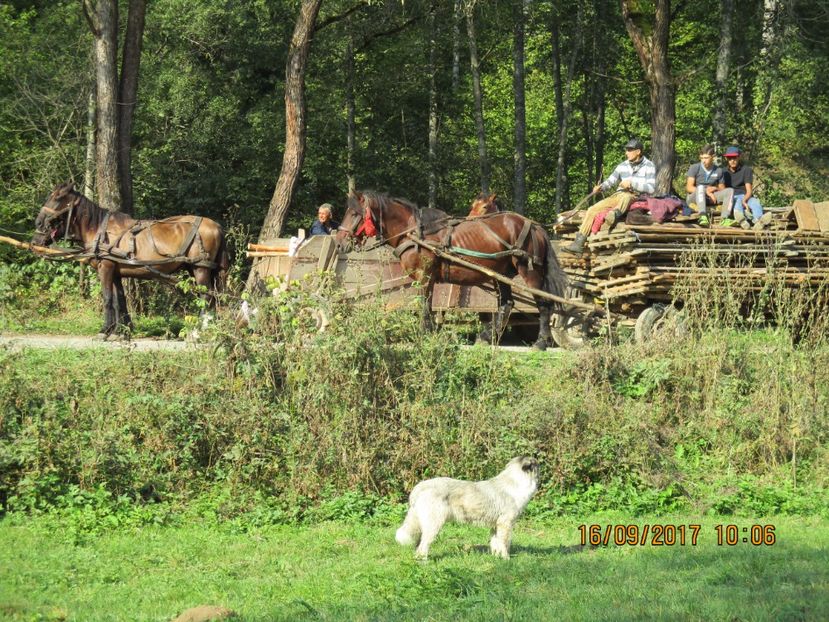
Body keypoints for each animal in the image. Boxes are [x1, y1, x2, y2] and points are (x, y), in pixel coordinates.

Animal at [33, 183, 230, 338]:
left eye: (57, 198)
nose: (38, 224)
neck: (101, 230)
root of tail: (217, 226)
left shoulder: (105, 267)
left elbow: (107, 298)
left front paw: (105, 331)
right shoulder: (115, 271)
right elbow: (118, 299)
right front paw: (121, 331)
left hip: (200, 268)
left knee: (207, 297)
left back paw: (200, 331)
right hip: (196, 269)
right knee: (211, 297)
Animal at [334, 190, 568, 348]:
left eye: (354, 214)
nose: (338, 243)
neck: (415, 232)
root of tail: (534, 226)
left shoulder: (424, 276)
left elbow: (424, 306)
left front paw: (423, 334)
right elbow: (428, 306)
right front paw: (431, 333)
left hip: (529, 271)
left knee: (544, 304)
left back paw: (541, 342)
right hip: (502, 274)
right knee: (506, 304)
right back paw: (488, 337)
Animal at [396, 458, 540, 560]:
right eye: (536, 464)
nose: (541, 464)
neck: (515, 482)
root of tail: (420, 486)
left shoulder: (495, 525)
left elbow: (496, 543)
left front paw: (496, 558)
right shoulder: (505, 524)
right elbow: (504, 543)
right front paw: (506, 559)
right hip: (434, 524)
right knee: (423, 546)